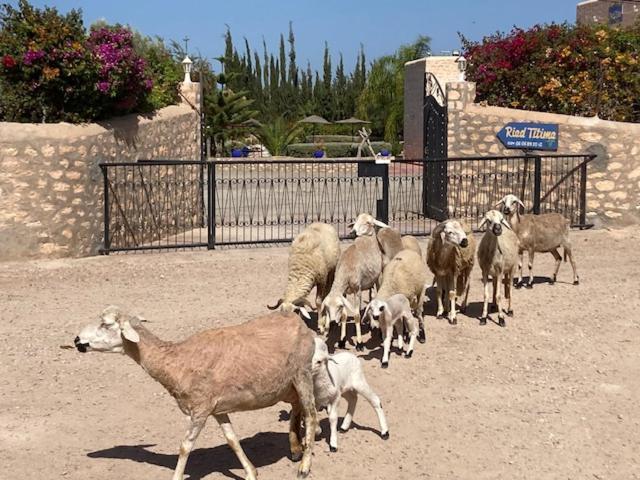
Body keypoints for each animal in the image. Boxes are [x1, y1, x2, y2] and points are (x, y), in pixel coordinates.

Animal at [74, 306, 318, 480]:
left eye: (105, 324)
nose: (76, 340)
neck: (176, 361)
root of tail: (298, 320)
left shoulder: (200, 409)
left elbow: (185, 446)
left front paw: (176, 477)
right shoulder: (217, 408)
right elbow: (232, 440)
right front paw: (251, 472)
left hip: (302, 373)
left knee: (311, 415)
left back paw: (304, 466)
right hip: (285, 385)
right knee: (297, 407)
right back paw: (296, 447)